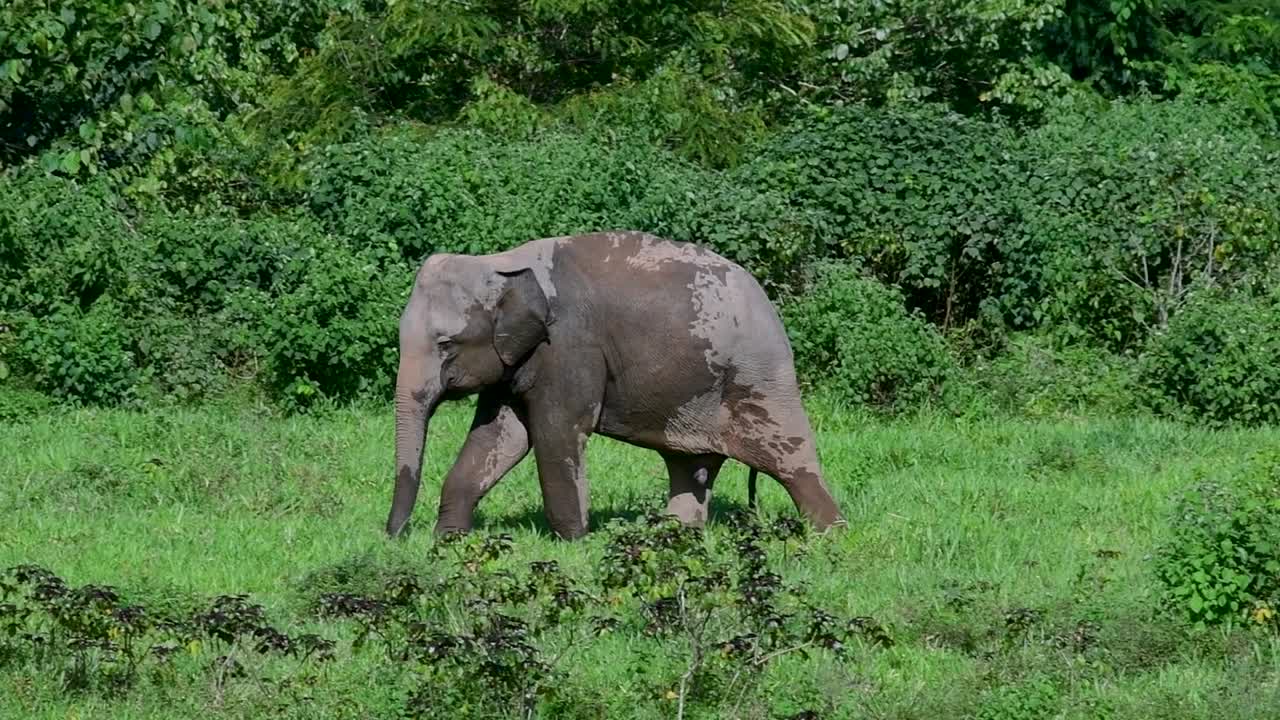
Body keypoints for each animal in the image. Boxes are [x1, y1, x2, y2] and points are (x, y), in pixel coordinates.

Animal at [387, 230, 846, 540]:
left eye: (446, 344)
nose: (393, 537)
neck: (499, 263)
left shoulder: (569, 346)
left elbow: (556, 432)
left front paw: (573, 545)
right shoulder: (516, 361)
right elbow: (499, 436)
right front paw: (449, 540)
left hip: (758, 377)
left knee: (789, 459)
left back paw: (829, 537)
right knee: (690, 466)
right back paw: (676, 537)